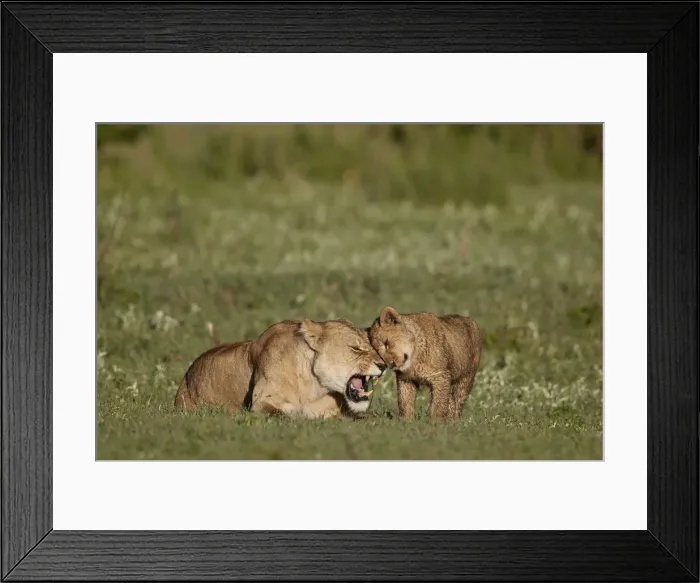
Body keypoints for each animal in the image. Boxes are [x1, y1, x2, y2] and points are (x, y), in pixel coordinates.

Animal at [175, 318, 387, 419]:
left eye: (373, 347)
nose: (383, 365)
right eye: (356, 348)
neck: (312, 386)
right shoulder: (261, 402)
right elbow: (285, 415)